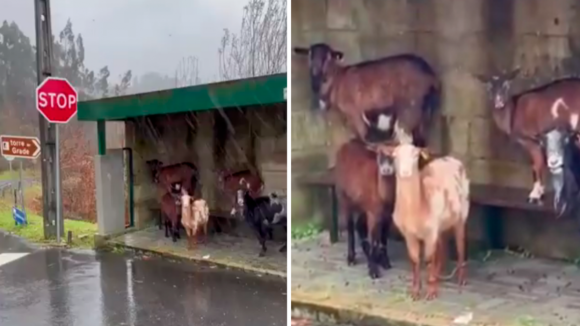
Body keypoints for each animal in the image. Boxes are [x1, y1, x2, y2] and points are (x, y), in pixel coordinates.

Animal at [292, 43, 438, 148]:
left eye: (328, 57)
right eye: (309, 55)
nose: (315, 80)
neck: (337, 80)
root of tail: (431, 75)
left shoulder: (353, 110)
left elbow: (364, 136)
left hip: (410, 108)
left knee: (406, 140)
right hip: (423, 115)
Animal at [334, 139, 396, 278]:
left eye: (395, 154)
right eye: (379, 153)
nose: (386, 169)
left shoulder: (387, 214)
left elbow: (383, 239)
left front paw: (385, 262)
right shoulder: (373, 212)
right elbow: (374, 240)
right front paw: (373, 271)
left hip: (362, 204)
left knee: (359, 226)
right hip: (343, 196)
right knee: (351, 226)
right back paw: (351, 258)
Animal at [372, 143, 472, 300]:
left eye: (415, 156)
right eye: (395, 156)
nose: (405, 172)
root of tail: (452, 159)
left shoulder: (430, 232)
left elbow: (429, 259)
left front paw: (431, 292)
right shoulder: (410, 234)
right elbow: (415, 260)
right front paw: (415, 291)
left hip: (461, 214)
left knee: (460, 246)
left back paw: (461, 279)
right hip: (441, 224)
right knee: (442, 247)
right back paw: (438, 275)